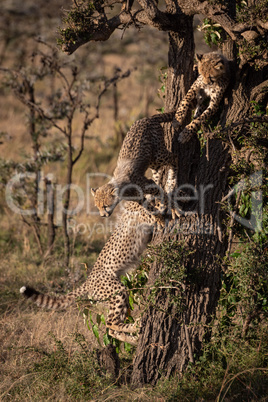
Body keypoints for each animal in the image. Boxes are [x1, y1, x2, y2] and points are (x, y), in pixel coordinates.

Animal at [21, 203, 158, 344]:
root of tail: (88, 280)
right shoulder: (146, 217)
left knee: (112, 329)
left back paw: (133, 338)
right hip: (118, 290)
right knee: (110, 323)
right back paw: (135, 328)